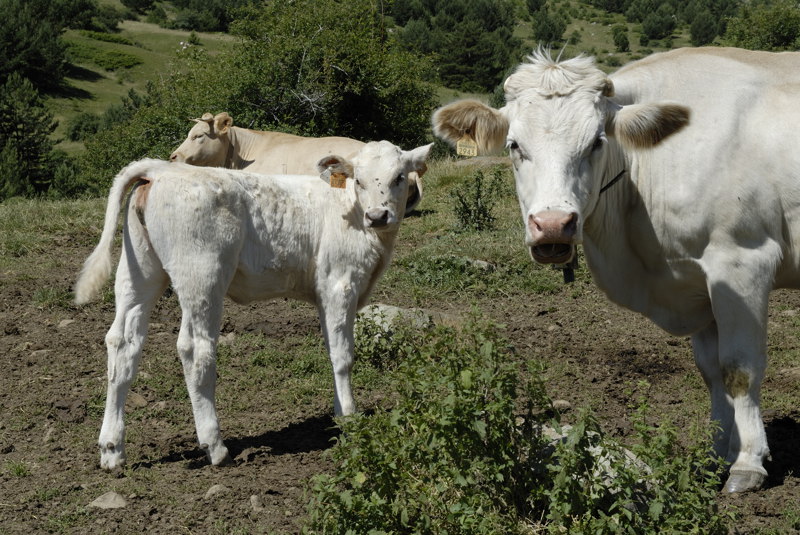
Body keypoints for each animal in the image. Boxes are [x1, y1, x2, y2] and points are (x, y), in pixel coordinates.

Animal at [75, 141, 434, 468]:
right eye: (358, 179)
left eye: (400, 177)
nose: (378, 216)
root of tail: (161, 169)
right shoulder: (340, 285)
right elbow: (343, 356)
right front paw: (348, 418)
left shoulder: (323, 292)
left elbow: (331, 349)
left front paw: (337, 413)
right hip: (201, 276)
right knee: (195, 349)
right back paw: (215, 446)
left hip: (139, 273)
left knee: (122, 344)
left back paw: (112, 449)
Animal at [434, 47, 800, 494]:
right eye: (514, 145)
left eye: (596, 142)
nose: (553, 225)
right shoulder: (698, 284)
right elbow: (712, 372)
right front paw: (717, 455)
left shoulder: (742, 262)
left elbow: (738, 370)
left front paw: (747, 463)